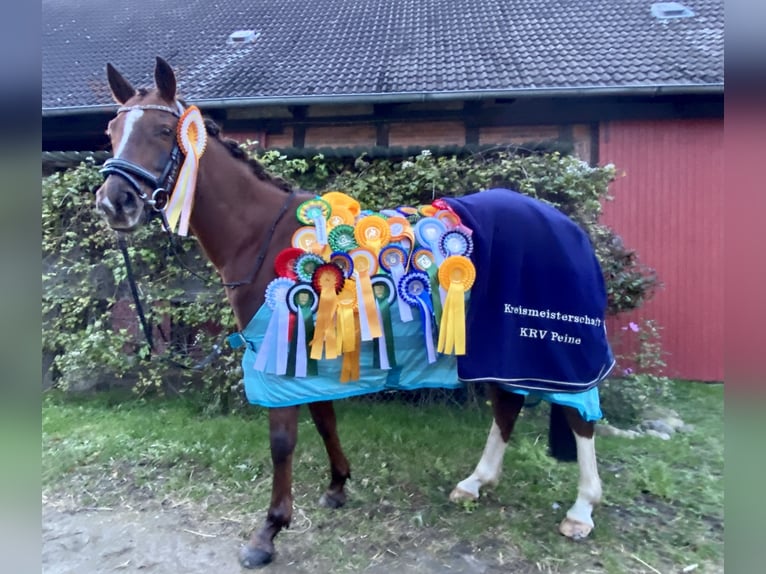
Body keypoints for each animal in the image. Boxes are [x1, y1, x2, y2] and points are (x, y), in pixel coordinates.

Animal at [96, 56, 608, 568]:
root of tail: (568, 226)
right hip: (499, 348)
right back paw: (475, 483)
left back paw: (581, 511)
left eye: (165, 130)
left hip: (550, 351)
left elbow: (283, 440)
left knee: (581, 419)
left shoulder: (279, 349)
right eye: (112, 130)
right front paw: (337, 484)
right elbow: (324, 417)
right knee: (507, 405)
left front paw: (269, 531)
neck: (263, 235)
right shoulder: (310, 345)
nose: (114, 202)